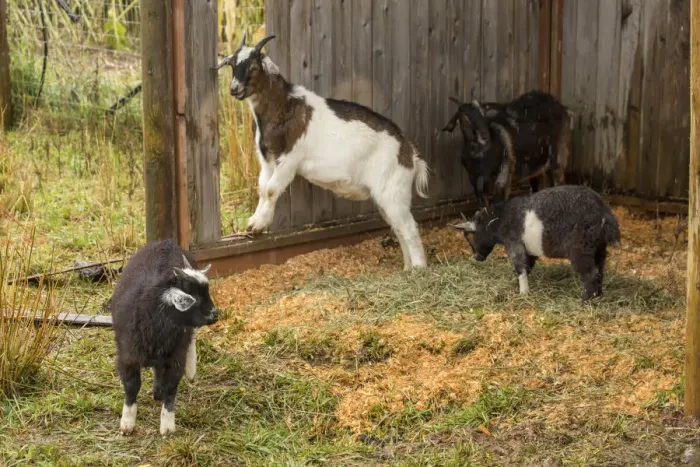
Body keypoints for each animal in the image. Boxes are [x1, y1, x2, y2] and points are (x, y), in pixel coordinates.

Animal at [110, 239, 219, 436]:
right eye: (196, 298)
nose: (216, 315)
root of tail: (166, 242)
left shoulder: (176, 358)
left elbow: (170, 388)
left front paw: (167, 425)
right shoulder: (128, 357)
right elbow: (131, 387)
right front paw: (127, 422)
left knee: (191, 338)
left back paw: (190, 370)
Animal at [214, 32, 430, 270]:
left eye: (253, 66)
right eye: (233, 64)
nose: (234, 89)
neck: (283, 106)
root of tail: (410, 153)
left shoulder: (289, 161)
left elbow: (271, 190)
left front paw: (259, 223)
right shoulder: (267, 160)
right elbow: (262, 188)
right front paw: (255, 223)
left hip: (393, 190)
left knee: (409, 227)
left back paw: (419, 269)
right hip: (387, 195)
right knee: (398, 227)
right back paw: (407, 268)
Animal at [442, 90, 574, 207]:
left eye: (484, 113)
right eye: (465, 116)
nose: (485, 134)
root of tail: (562, 107)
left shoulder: (503, 176)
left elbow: (497, 202)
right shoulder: (475, 180)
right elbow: (482, 205)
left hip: (558, 156)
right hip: (536, 164)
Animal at [449, 185, 620, 301]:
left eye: (470, 237)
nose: (477, 257)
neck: (499, 219)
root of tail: (604, 213)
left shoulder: (514, 244)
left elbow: (520, 268)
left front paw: (523, 292)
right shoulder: (528, 250)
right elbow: (528, 266)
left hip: (581, 249)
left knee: (591, 274)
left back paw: (584, 300)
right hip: (599, 249)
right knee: (600, 271)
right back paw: (598, 295)